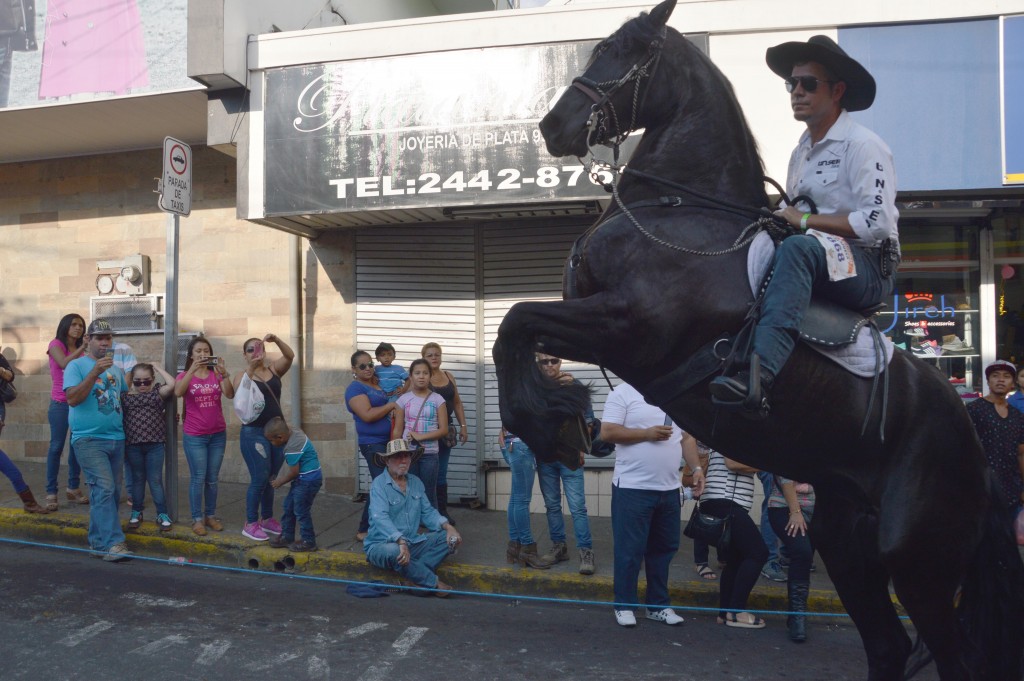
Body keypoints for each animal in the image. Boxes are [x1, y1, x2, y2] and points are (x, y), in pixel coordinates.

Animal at [493, 2, 1024, 675]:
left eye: (621, 50)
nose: (553, 125)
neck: (682, 211)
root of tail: (976, 452)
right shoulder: (600, 327)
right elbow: (517, 332)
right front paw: (562, 421)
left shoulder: (627, 329)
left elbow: (514, 323)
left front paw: (554, 426)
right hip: (848, 542)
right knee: (888, 645)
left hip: (920, 563)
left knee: (950, 654)